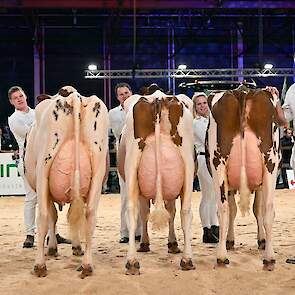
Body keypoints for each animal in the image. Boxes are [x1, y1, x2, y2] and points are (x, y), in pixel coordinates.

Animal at [23, 86, 108, 280]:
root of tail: (74, 97)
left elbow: (52, 216)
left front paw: (53, 248)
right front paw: (76, 247)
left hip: (43, 170)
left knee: (43, 216)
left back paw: (39, 266)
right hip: (98, 171)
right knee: (90, 215)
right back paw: (86, 265)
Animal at [118, 88, 197, 276]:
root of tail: (159, 97)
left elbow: (148, 213)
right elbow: (170, 212)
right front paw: (171, 243)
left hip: (132, 167)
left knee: (132, 211)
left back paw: (132, 262)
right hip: (187, 168)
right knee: (185, 211)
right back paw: (186, 259)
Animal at [207, 89, 280, 272]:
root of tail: (243, 91)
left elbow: (238, 209)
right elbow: (256, 209)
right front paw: (260, 239)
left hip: (219, 165)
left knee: (224, 209)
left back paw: (222, 257)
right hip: (270, 164)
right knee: (266, 210)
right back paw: (268, 258)